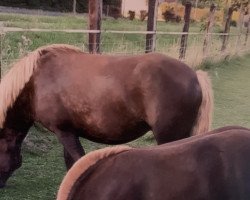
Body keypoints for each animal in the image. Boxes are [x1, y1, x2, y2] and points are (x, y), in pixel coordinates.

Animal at [0, 43, 213, 188]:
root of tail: (195, 76)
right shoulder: (68, 132)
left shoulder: (63, 132)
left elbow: (78, 161)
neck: (35, 82)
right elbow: (71, 163)